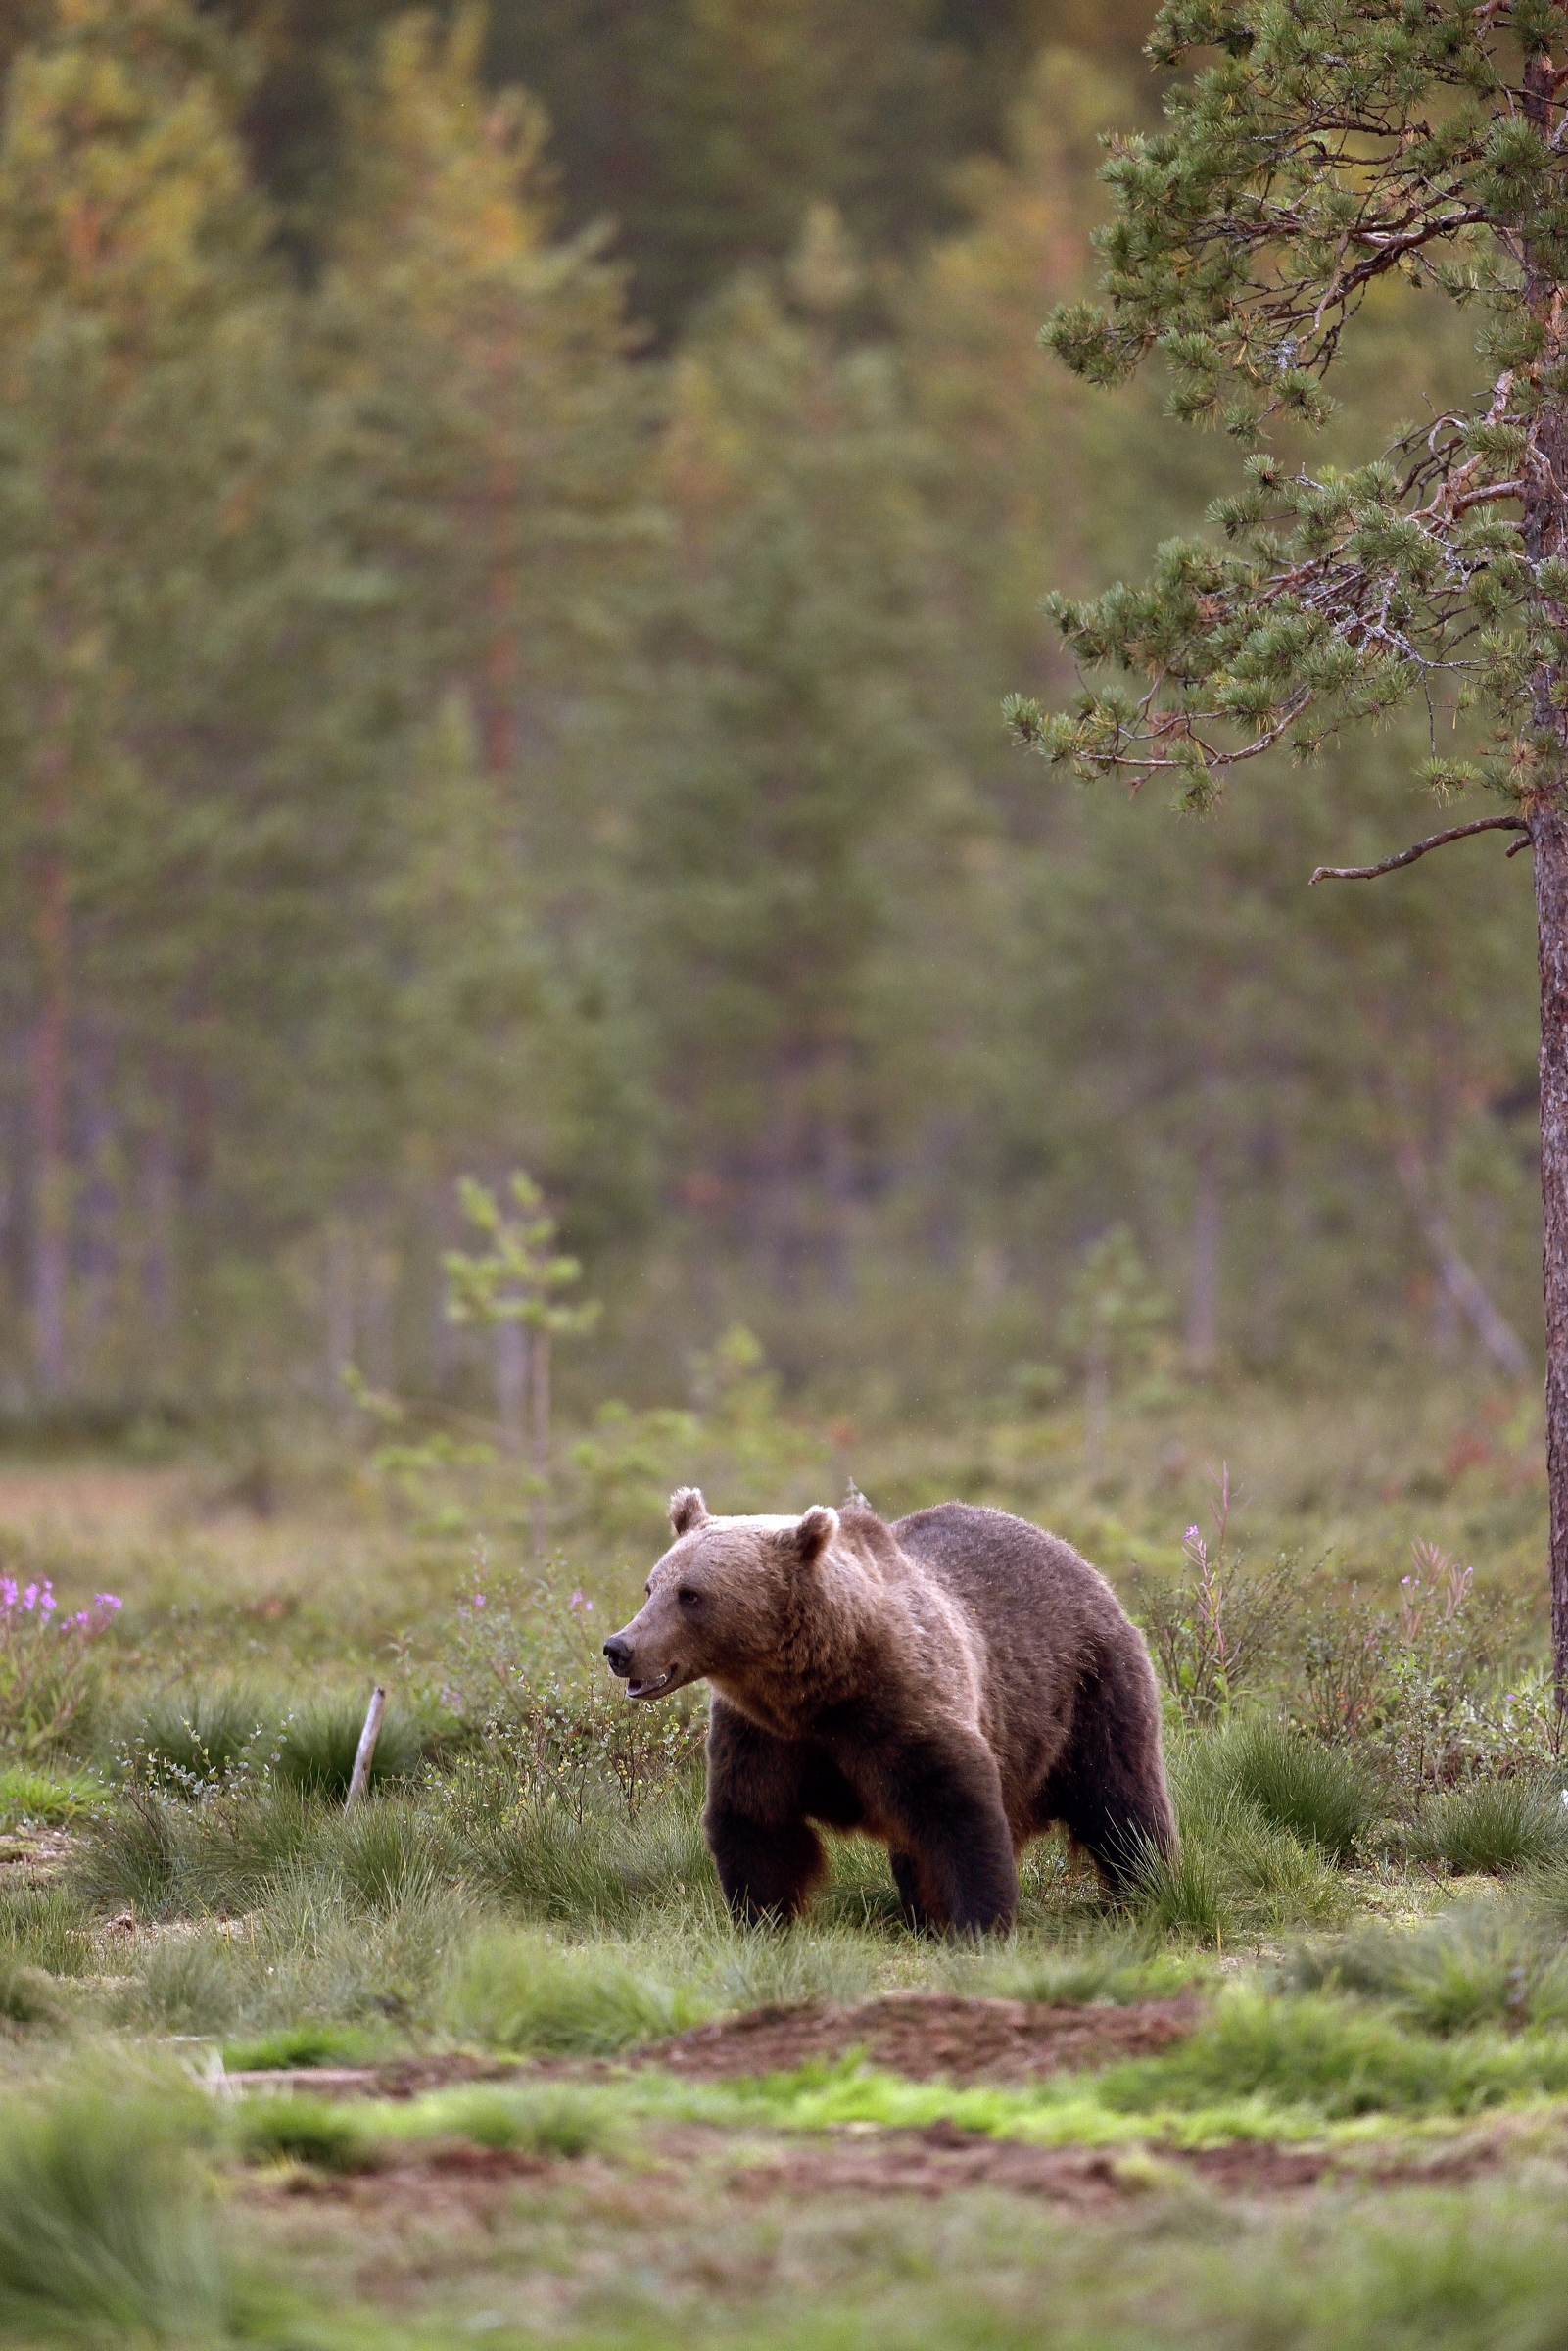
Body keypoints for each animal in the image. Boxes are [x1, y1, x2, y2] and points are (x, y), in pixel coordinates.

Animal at [602, 1487, 1174, 1933]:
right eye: (652, 1586)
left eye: (691, 1594)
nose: (619, 1647)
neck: (815, 1686)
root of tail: (1073, 1554)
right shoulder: (762, 1735)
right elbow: (756, 1821)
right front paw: (763, 1920)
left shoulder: (902, 1708)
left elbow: (959, 1812)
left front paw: (980, 1922)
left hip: (1089, 1685)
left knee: (1120, 1795)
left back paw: (1148, 1886)